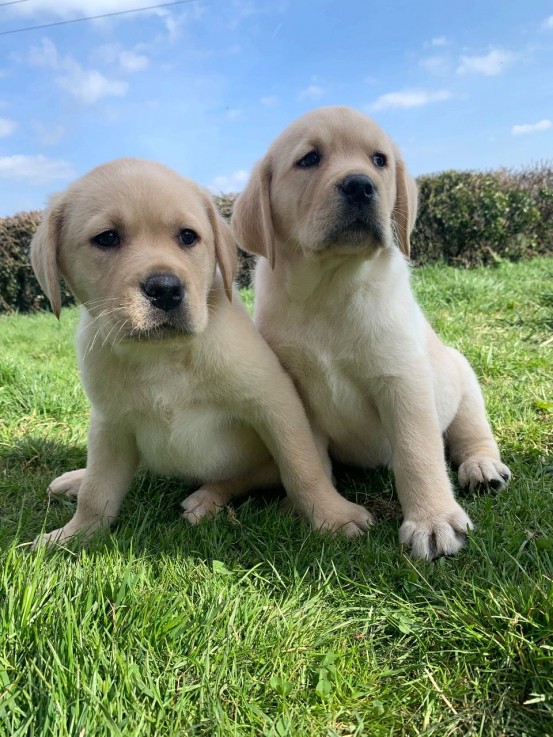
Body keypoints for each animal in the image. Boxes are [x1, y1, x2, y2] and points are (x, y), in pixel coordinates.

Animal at [29, 157, 370, 548]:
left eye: (187, 236)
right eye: (107, 238)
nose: (165, 289)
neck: (163, 355)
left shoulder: (275, 403)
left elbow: (303, 467)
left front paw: (333, 516)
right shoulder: (110, 423)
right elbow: (97, 493)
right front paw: (72, 536)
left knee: (242, 478)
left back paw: (206, 499)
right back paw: (76, 478)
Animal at [229, 106, 508, 556]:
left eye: (379, 160)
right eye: (309, 159)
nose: (360, 185)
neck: (331, 286)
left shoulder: (402, 379)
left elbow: (418, 453)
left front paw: (433, 521)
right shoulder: (296, 393)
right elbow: (308, 458)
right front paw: (320, 511)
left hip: (463, 379)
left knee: (470, 433)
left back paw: (482, 467)